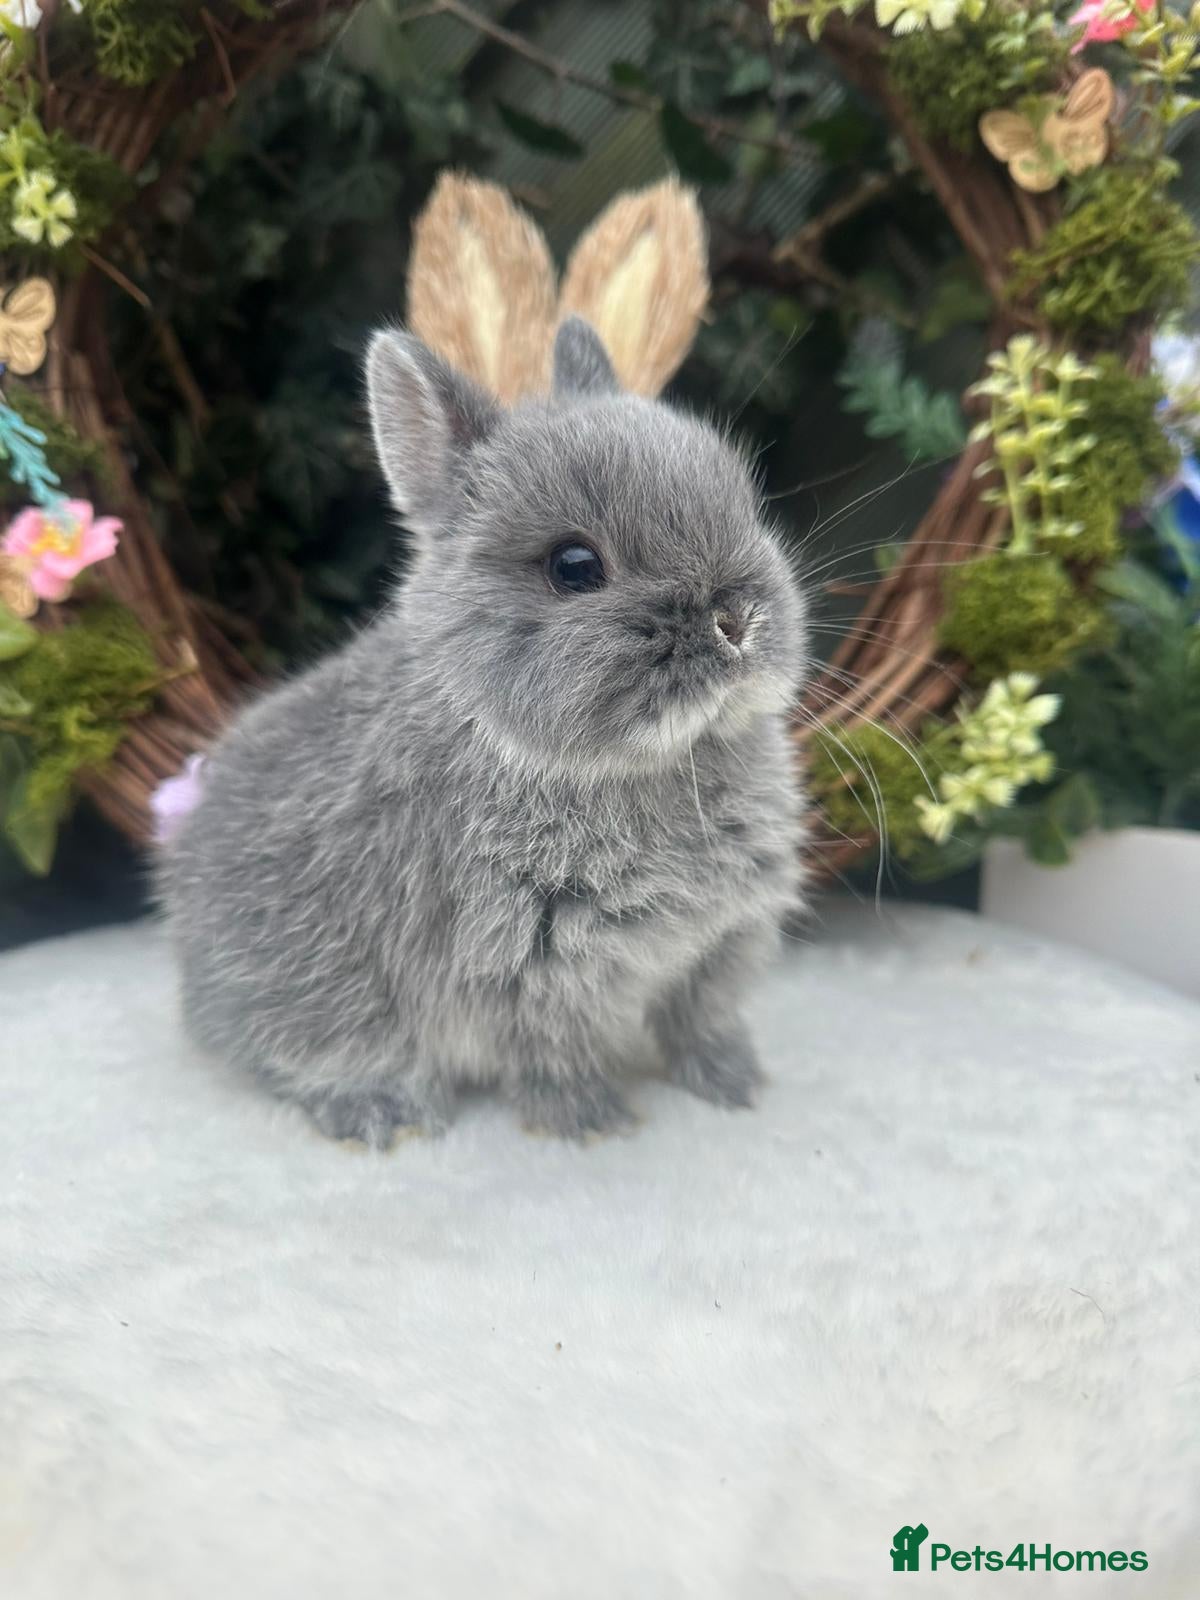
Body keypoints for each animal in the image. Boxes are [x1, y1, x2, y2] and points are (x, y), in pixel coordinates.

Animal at [159, 316, 808, 1145]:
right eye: (573, 566)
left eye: (747, 509)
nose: (736, 621)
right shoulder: (530, 967)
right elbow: (552, 1056)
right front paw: (592, 1122)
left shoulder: (718, 948)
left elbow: (701, 1022)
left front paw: (736, 1084)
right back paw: (382, 1110)